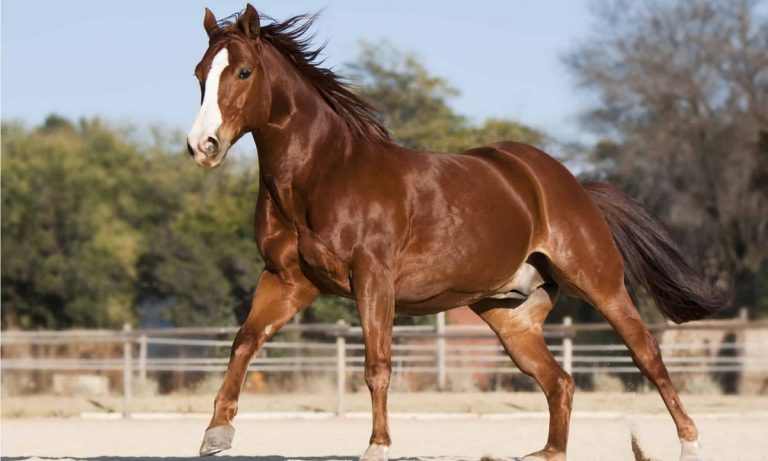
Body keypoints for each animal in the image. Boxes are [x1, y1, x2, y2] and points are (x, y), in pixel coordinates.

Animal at [186, 5, 727, 461]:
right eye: (199, 73)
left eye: (243, 72)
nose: (202, 145)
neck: (324, 173)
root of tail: (568, 184)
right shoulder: (287, 281)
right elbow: (245, 341)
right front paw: (216, 434)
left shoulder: (372, 279)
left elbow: (377, 364)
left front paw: (378, 446)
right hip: (510, 317)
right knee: (560, 382)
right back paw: (545, 453)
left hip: (600, 284)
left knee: (647, 355)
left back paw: (689, 443)